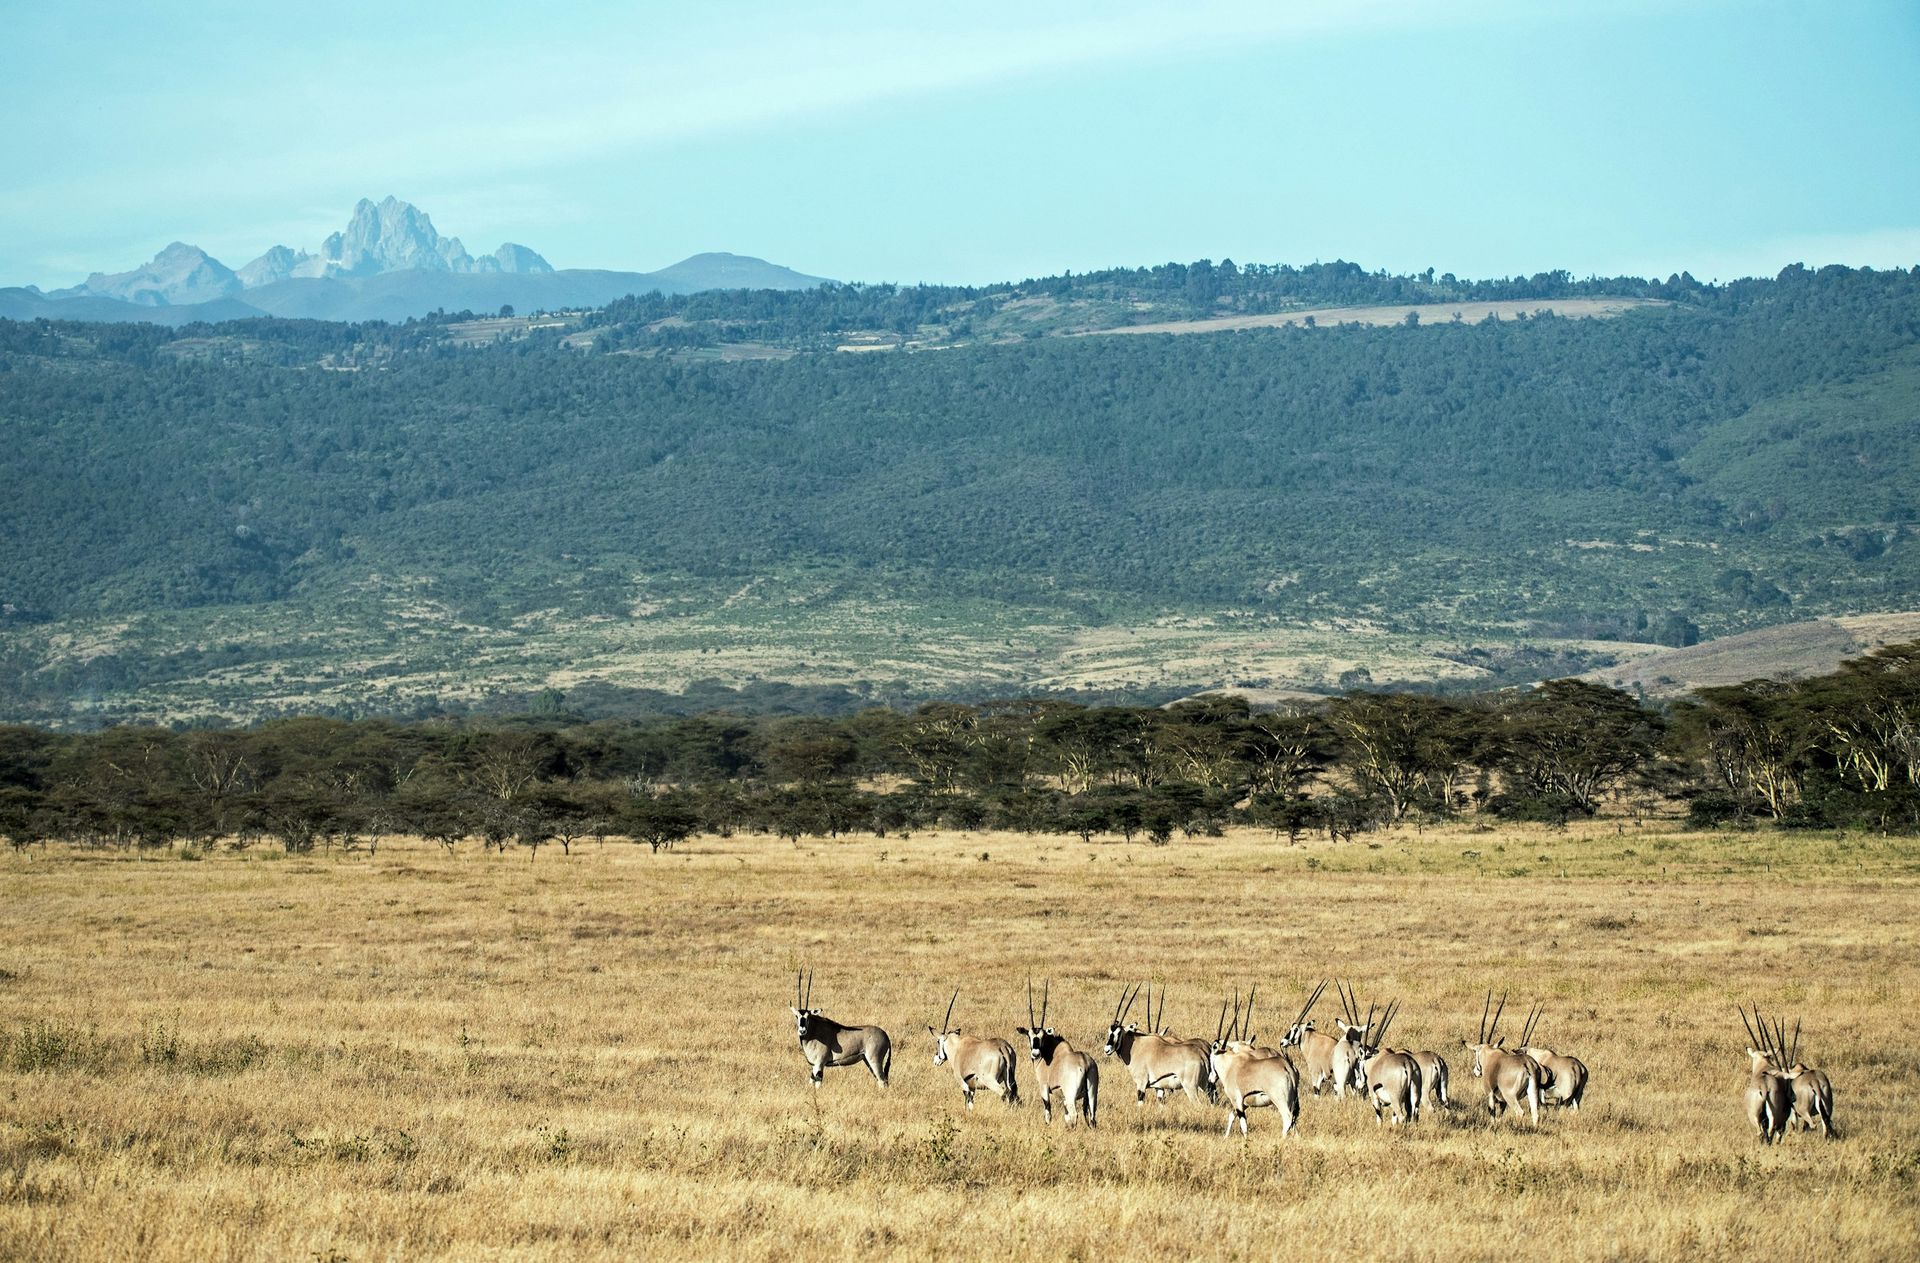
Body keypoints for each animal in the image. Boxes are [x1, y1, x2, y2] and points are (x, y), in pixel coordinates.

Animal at [1017, 978, 1098, 1127]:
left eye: (1042, 1037)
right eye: (1029, 1036)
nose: (1035, 1054)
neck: (1050, 1054)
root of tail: (1085, 1063)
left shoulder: (1044, 1087)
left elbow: (1048, 1111)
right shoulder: (1064, 1097)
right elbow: (1066, 1116)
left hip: (1071, 1095)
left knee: (1075, 1114)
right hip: (1092, 1094)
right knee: (1092, 1117)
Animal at [1208, 988, 1300, 1138]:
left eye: (1211, 1058)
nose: (1211, 1078)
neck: (1229, 1065)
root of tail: (1287, 1067)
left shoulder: (1237, 1101)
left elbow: (1244, 1125)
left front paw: (1245, 1140)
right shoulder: (1243, 1104)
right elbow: (1231, 1116)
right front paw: (1225, 1137)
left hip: (1280, 1100)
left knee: (1287, 1119)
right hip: (1292, 1101)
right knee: (1294, 1121)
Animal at [1463, 991, 1543, 1126]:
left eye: (1475, 1052)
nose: (1476, 1072)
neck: (1490, 1054)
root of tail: (1528, 1065)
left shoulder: (1490, 1094)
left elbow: (1492, 1113)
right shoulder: (1502, 1101)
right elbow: (1500, 1116)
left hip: (1510, 1096)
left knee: (1520, 1112)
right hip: (1532, 1093)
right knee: (1535, 1113)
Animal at [1738, 1006, 1793, 1144]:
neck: (1763, 1067)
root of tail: (1764, 1089)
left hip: (1756, 1117)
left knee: (1763, 1133)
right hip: (1770, 1117)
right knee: (1769, 1132)